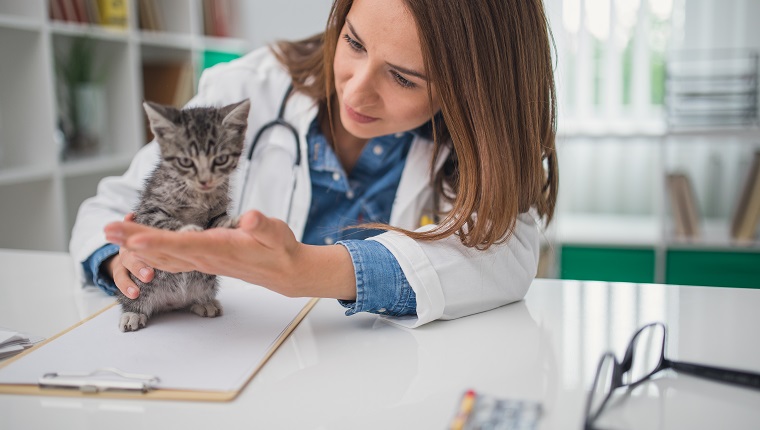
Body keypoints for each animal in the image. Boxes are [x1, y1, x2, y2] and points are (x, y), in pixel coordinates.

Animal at [117, 98, 251, 332]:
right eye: (186, 162)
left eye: (221, 159)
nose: (205, 180)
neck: (198, 194)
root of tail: (170, 303)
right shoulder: (149, 211)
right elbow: (163, 222)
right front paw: (188, 230)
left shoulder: (217, 209)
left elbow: (218, 220)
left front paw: (231, 223)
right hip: (141, 282)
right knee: (134, 296)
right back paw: (132, 313)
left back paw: (203, 302)